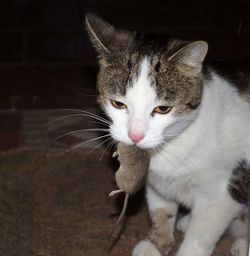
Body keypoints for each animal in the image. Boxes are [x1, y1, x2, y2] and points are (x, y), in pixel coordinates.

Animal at [85, 13, 249, 256]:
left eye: (163, 109)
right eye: (118, 104)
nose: (135, 136)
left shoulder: (222, 194)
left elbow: (200, 237)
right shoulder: (156, 183)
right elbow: (161, 210)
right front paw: (157, 243)